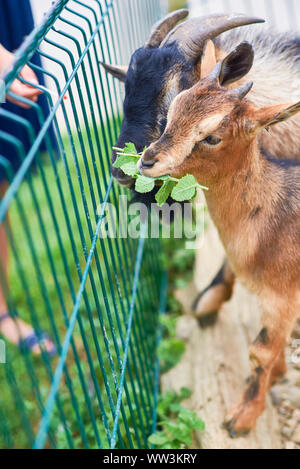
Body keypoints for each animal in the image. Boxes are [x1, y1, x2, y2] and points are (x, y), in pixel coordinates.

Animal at [139, 44, 300, 436]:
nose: (147, 160)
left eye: (212, 136)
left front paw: (241, 417)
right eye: (173, 111)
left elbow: (260, 351)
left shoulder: (284, 297)